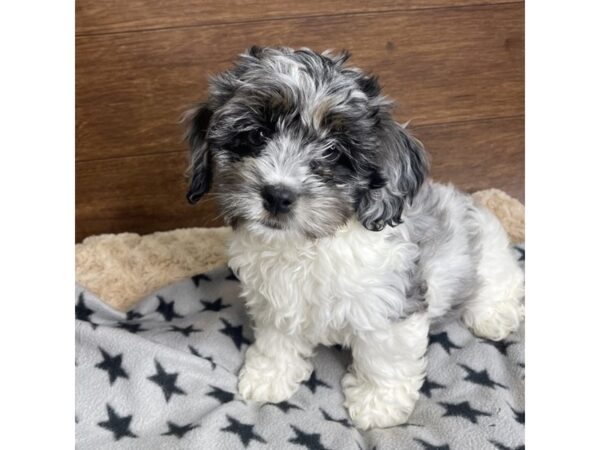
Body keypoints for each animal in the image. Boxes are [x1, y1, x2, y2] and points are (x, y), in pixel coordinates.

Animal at [185, 46, 524, 428]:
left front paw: (378, 404)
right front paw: (269, 376)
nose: (277, 195)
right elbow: (277, 340)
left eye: (333, 150)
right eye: (257, 135)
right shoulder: (276, 301)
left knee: (503, 283)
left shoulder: (390, 305)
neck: (308, 245)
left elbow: (384, 358)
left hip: (487, 258)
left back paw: (493, 316)